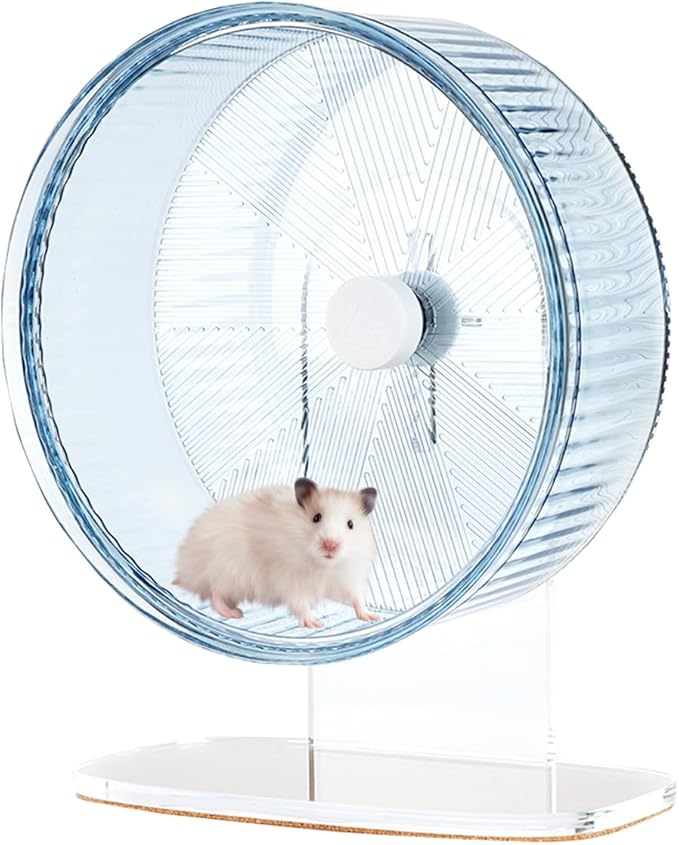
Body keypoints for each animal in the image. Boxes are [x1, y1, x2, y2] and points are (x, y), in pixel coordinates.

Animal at [173, 478, 380, 629]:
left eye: (350, 524)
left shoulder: (349, 576)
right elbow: (301, 603)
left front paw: (371, 617)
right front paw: (315, 624)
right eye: (316, 518)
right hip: (226, 570)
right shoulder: (291, 580)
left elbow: (356, 598)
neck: (323, 566)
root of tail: (183, 570)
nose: (330, 545)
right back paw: (235, 613)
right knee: (215, 593)